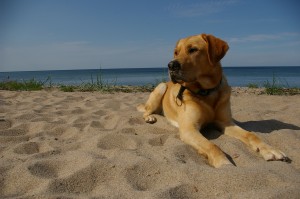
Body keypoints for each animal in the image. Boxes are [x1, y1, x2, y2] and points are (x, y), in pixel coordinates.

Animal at [138, 33, 290, 167]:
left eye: (193, 49)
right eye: (176, 52)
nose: (170, 65)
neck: (206, 92)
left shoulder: (226, 123)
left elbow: (251, 135)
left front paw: (269, 149)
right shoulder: (189, 129)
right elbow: (211, 145)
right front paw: (223, 163)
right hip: (161, 86)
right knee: (146, 111)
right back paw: (149, 117)